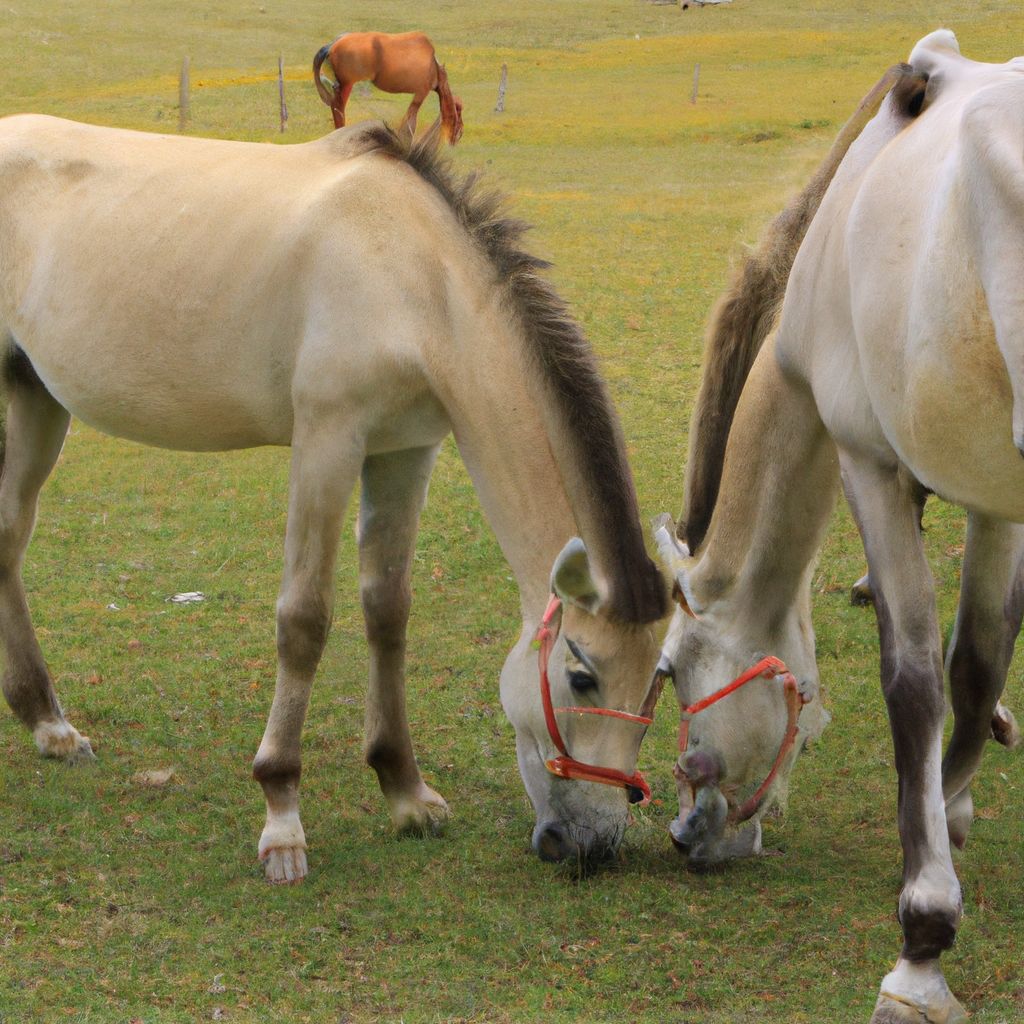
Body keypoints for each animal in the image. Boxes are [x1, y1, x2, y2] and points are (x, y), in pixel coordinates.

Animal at [0, 112, 667, 880]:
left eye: (658, 684)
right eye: (582, 677)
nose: (595, 844)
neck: (409, 275)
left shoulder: (406, 450)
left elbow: (387, 609)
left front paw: (405, 791)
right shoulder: (328, 439)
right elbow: (304, 621)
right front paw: (281, 816)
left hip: (37, 397)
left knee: (7, 538)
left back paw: (47, 722)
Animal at [311, 30, 464, 143]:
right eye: (459, 111)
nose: (460, 134)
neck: (433, 66)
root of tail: (332, 44)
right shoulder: (421, 92)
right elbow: (410, 124)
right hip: (347, 84)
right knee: (338, 109)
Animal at [655, 32, 1024, 1024]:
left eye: (672, 673)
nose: (683, 835)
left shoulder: (868, 461)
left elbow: (916, 678)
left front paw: (922, 937)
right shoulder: (991, 495)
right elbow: (978, 662)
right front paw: (953, 801)